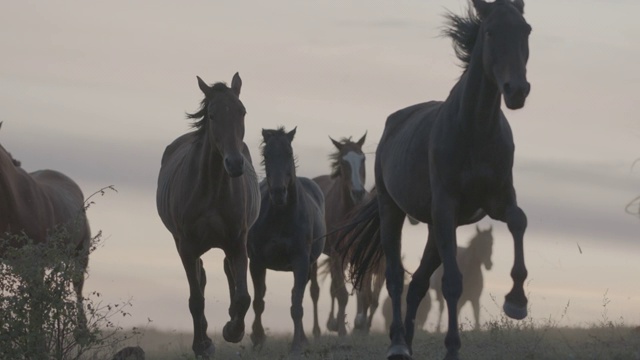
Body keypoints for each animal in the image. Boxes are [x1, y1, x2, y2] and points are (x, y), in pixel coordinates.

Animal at [156, 71, 258, 358]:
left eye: (242, 111)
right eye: (212, 115)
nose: (234, 164)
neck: (211, 188)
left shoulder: (237, 241)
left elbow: (243, 296)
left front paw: (232, 330)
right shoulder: (187, 246)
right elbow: (196, 299)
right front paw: (202, 345)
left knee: (228, 272)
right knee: (200, 279)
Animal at [245, 127, 324, 354]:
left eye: (289, 153)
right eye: (266, 156)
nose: (279, 192)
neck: (281, 216)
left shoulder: (301, 262)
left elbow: (296, 304)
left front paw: (297, 345)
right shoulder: (257, 262)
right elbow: (258, 301)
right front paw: (258, 339)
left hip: (309, 266)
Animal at [312, 134, 368, 336]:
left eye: (363, 159)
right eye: (344, 162)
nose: (358, 193)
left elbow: (361, 289)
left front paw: (360, 324)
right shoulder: (337, 253)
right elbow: (342, 294)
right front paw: (343, 332)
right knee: (316, 291)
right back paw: (318, 331)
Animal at [338, 1, 532, 358]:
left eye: (526, 30)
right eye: (490, 32)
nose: (517, 91)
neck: (475, 130)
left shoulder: (497, 200)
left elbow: (518, 221)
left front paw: (517, 301)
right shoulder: (446, 208)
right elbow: (452, 283)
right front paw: (452, 348)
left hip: (434, 228)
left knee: (416, 284)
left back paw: (407, 341)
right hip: (393, 211)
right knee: (395, 277)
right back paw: (397, 344)